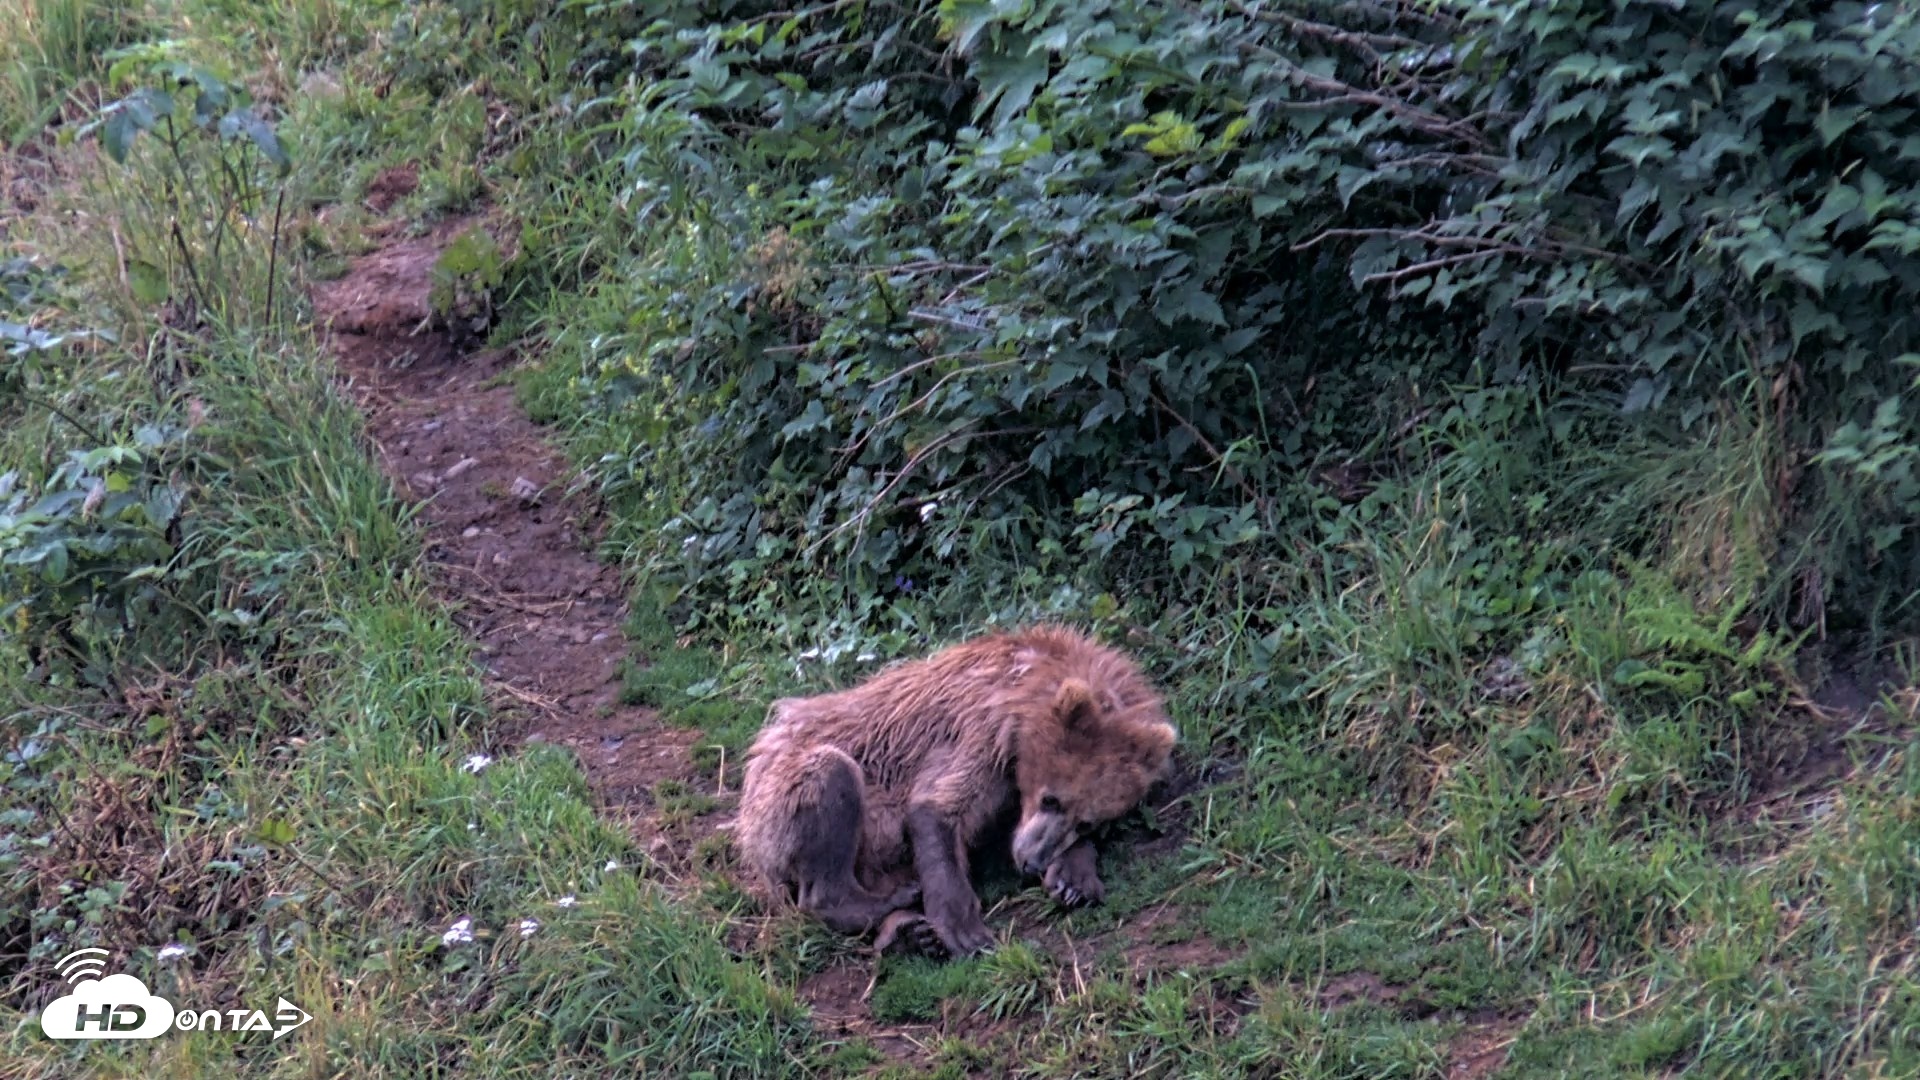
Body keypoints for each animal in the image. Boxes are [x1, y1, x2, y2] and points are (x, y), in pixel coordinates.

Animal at [731, 624, 1177, 958]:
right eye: (1050, 798)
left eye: (1088, 822)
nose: (1031, 861)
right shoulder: (976, 732)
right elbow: (939, 808)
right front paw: (965, 930)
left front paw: (1073, 880)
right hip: (779, 803)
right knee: (830, 779)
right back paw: (890, 904)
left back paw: (907, 932)